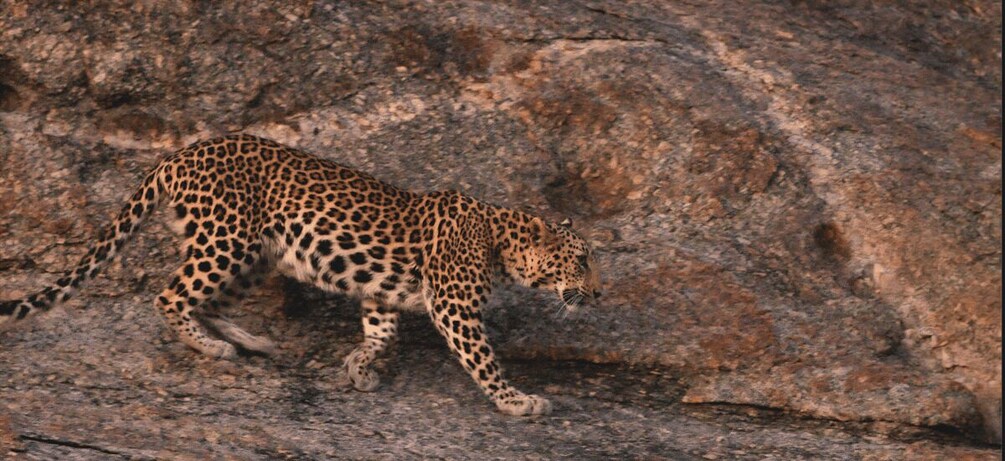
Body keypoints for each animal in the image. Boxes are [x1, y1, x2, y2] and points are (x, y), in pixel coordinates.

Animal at [1, 134, 601, 416]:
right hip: (228, 238)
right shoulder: (455, 306)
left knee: (209, 301)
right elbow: (483, 361)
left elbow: (381, 335)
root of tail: (181, 152)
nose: (598, 293)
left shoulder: (382, 296)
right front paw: (517, 401)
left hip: (257, 253)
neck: (501, 242)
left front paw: (358, 369)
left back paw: (254, 341)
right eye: (582, 260)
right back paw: (212, 347)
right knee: (171, 295)